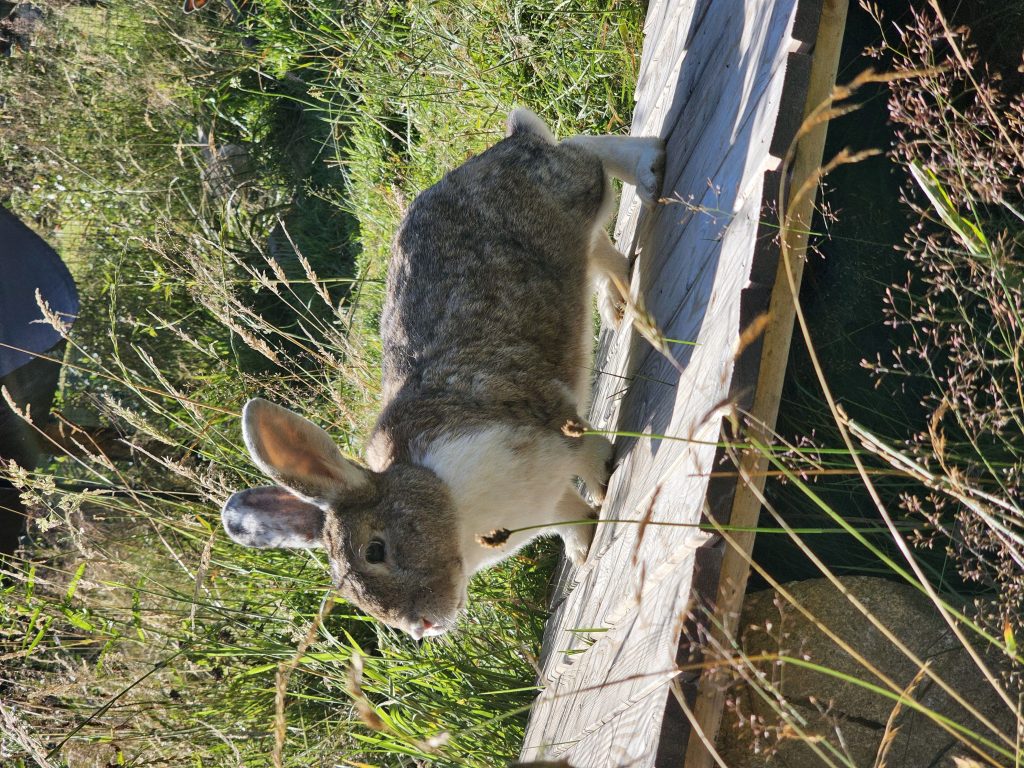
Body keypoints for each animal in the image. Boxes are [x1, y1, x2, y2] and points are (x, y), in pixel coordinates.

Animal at [221, 109, 665, 639]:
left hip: (572, 192)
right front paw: (584, 551)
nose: (423, 626)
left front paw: (604, 490)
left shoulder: (556, 428)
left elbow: (592, 459)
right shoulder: (549, 499)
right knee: (598, 244)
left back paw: (649, 171)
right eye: (353, 596)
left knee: (589, 153)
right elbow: (571, 522)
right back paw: (618, 303)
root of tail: (506, 144)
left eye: (376, 549)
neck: (448, 500)